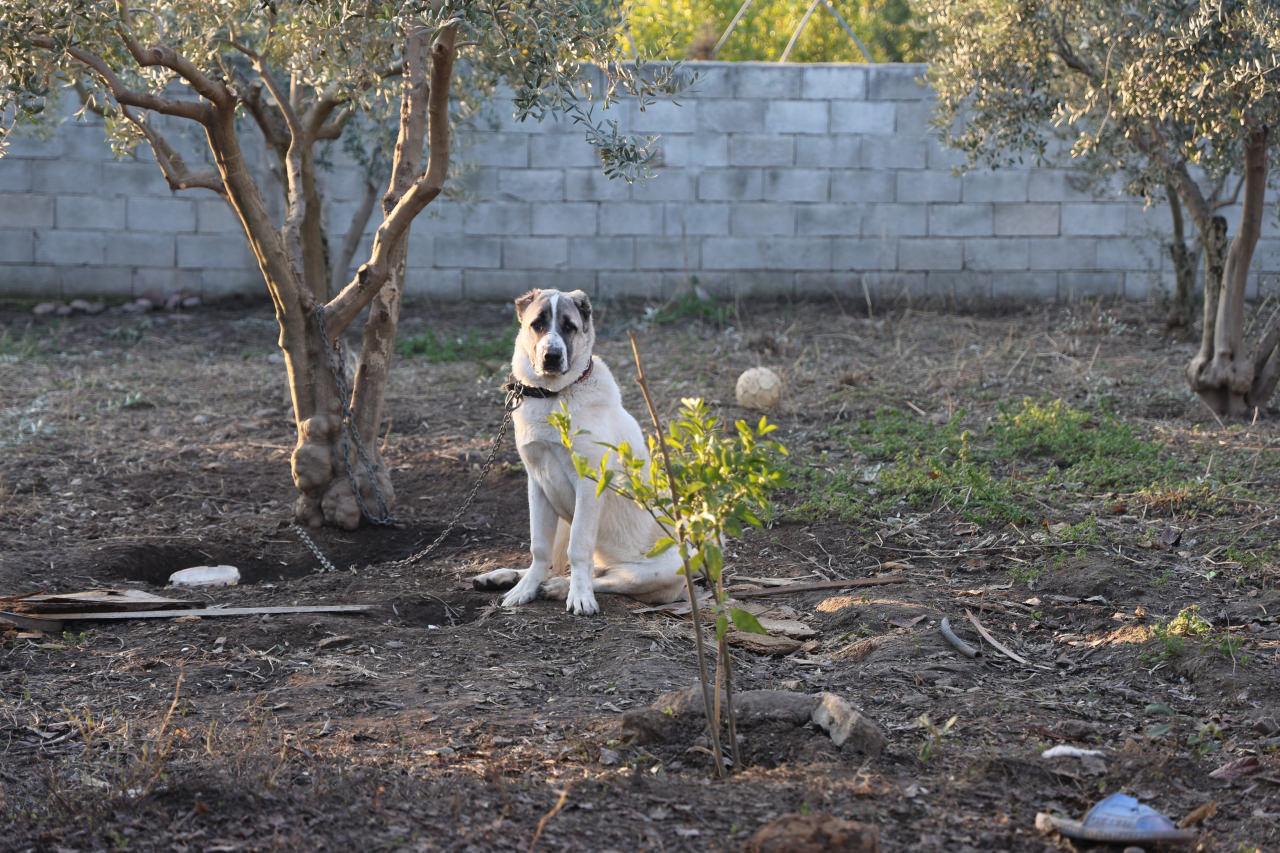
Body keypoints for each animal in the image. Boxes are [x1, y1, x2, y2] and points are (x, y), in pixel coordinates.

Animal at [473, 286, 691, 612]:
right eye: (537, 324)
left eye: (569, 327)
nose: (551, 356)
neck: (554, 395)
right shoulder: (537, 483)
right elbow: (539, 547)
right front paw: (524, 588)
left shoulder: (589, 485)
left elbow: (580, 549)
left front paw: (579, 597)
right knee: (559, 564)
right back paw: (505, 577)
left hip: (658, 570)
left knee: (605, 577)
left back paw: (561, 587)